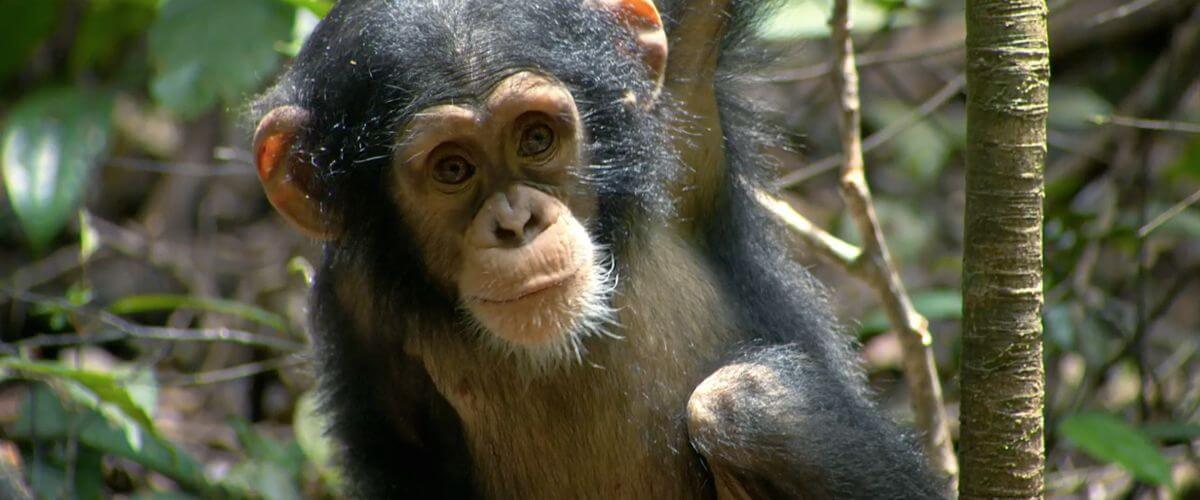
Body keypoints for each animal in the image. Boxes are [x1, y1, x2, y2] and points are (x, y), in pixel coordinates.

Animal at [250, 0, 944, 498]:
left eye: (535, 137)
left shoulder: (681, 101)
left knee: (745, 406)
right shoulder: (354, 304)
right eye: (452, 169)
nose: (516, 223)